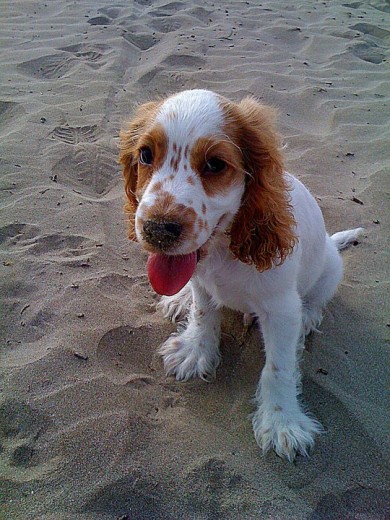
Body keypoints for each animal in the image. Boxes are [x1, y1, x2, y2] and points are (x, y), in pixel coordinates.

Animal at [119, 89, 362, 460]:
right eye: (145, 155)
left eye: (215, 164)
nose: (157, 229)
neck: (222, 249)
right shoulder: (202, 281)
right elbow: (203, 313)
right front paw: (196, 350)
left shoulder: (281, 309)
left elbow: (279, 367)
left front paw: (281, 421)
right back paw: (179, 298)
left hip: (331, 267)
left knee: (316, 300)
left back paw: (308, 317)